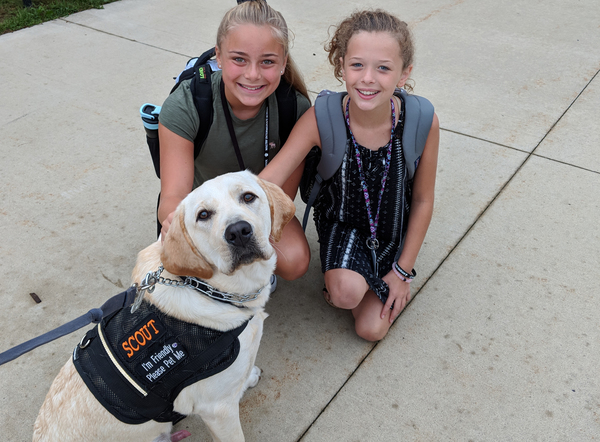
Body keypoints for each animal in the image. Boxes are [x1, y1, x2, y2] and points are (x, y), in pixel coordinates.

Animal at [32, 171, 296, 440]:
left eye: (248, 197)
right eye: (203, 215)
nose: (238, 231)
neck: (207, 289)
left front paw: (248, 378)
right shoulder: (218, 410)